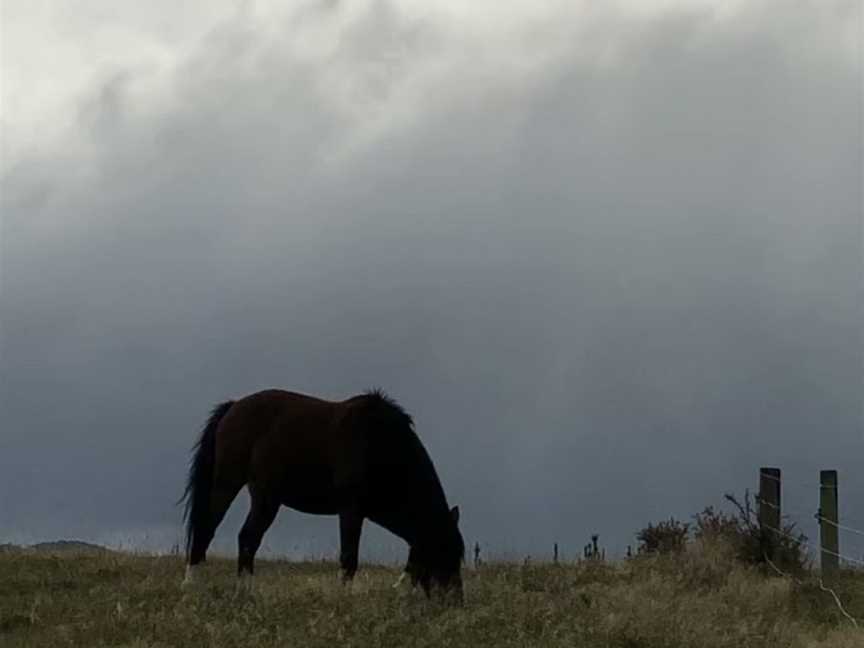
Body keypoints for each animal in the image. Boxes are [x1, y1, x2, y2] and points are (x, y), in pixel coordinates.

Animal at [179, 384, 466, 604]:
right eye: (445, 550)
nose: (455, 602)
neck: (380, 446)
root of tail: (234, 406)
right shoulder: (351, 510)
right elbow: (349, 557)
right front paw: (345, 598)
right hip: (228, 484)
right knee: (208, 529)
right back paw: (192, 585)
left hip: (267, 498)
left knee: (248, 538)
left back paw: (245, 592)